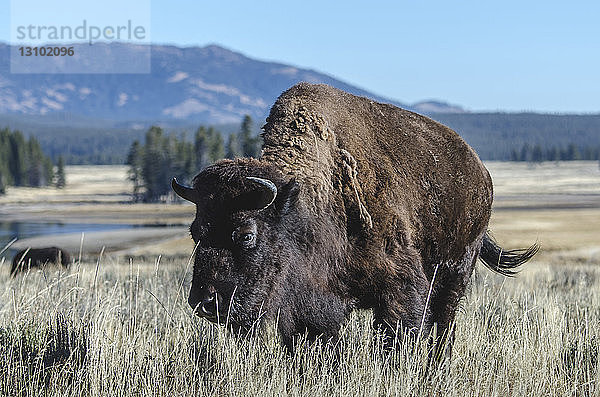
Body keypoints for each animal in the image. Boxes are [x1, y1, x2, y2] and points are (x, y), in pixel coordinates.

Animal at [171, 83, 536, 356]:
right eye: (196, 233)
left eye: (246, 234)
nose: (205, 302)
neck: (303, 202)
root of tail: (480, 171)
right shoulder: (312, 306)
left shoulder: (400, 287)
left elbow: (397, 336)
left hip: (456, 269)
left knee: (444, 321)